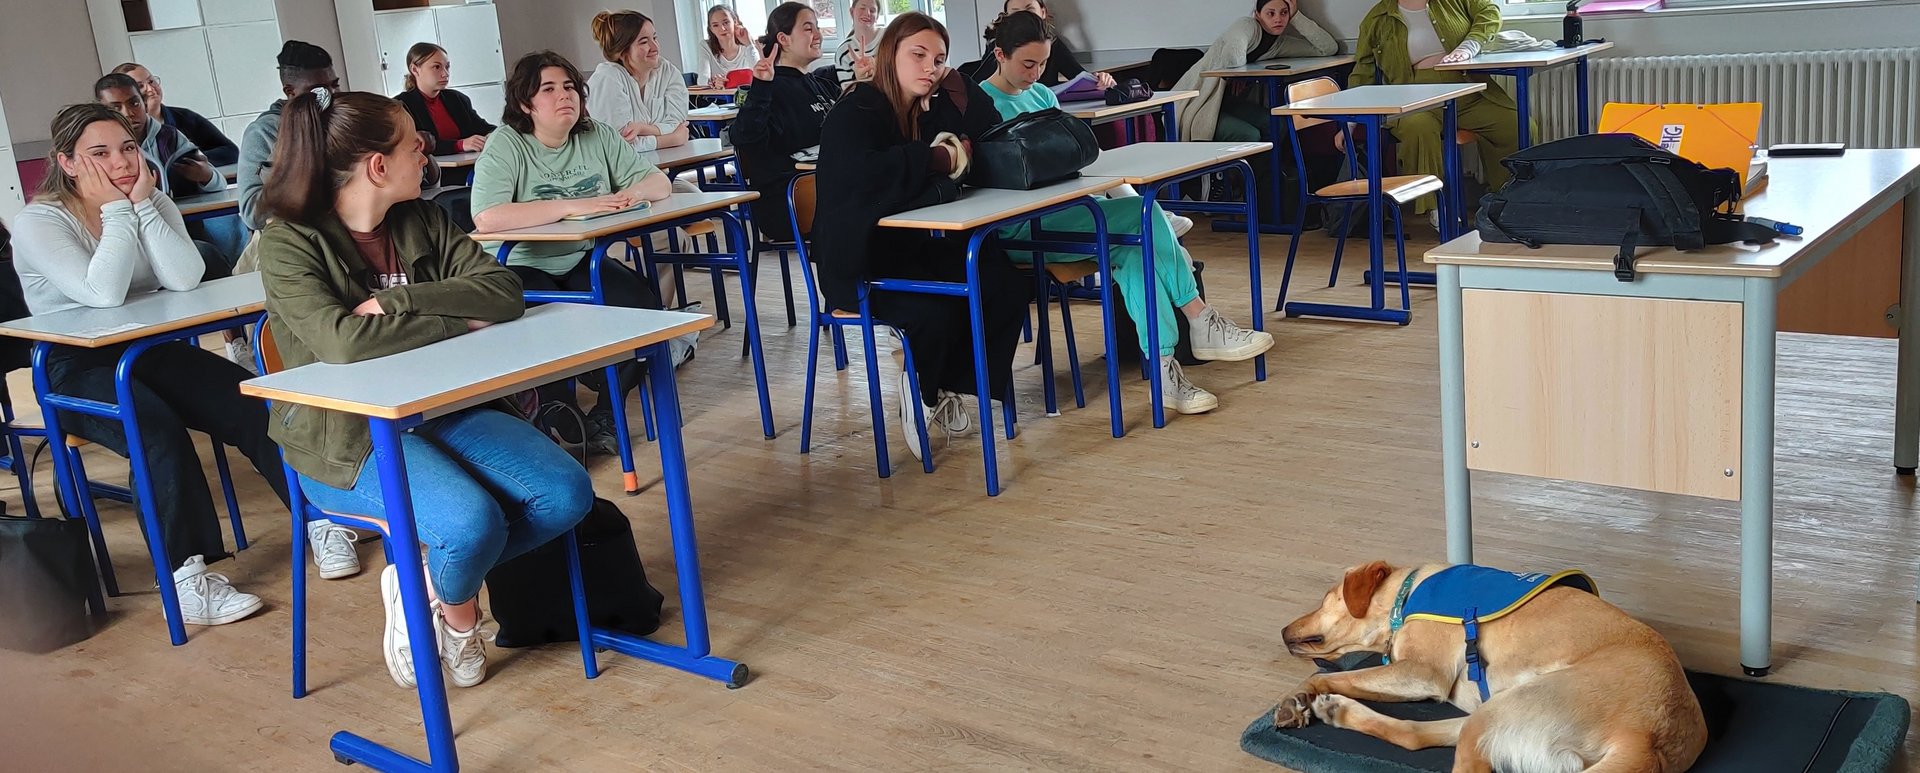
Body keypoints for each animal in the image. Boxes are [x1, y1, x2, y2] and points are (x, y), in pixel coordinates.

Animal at [1282, 563, 1704, 773]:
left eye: (1326, 598)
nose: (1283, 630)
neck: (1405, 598)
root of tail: (1648, 740)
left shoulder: (1423, 672)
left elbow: (1334, 674)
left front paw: (1300, 693)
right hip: (1497, 715)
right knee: (1415, 735)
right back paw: (1338, 711)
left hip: (1504, 712)